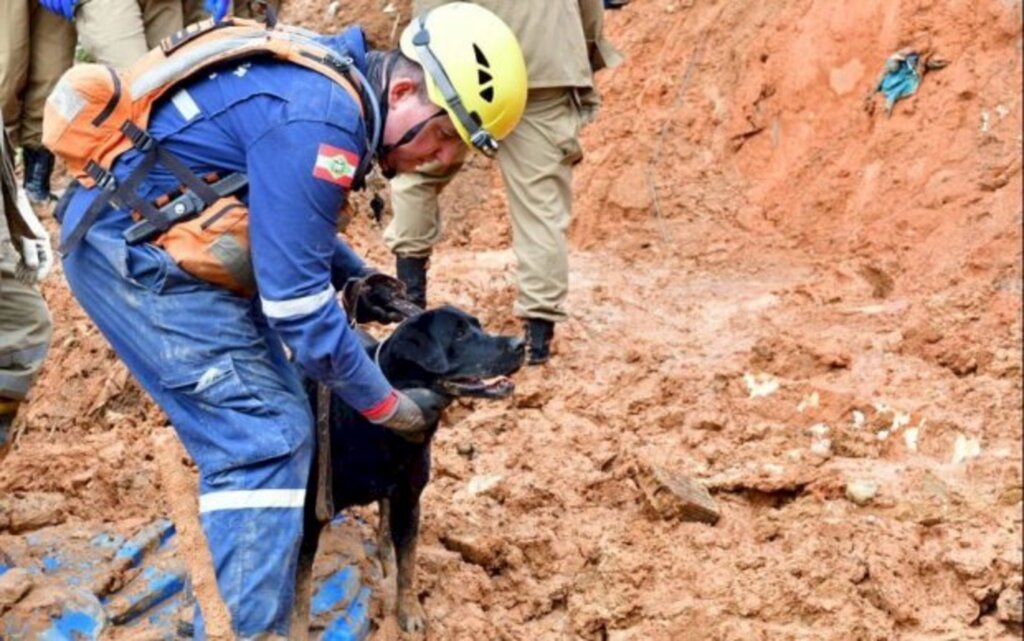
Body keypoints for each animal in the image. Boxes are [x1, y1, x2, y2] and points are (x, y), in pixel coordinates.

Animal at [294, 307, 520, 630]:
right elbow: (300, 593)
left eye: (479, 325)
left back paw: (385, 557)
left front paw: (409, 609)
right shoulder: (309, 512)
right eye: (459, 333)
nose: (520, 344)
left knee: (385, 525)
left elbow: (408, 564)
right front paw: (294, 630)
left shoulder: (409, 501)